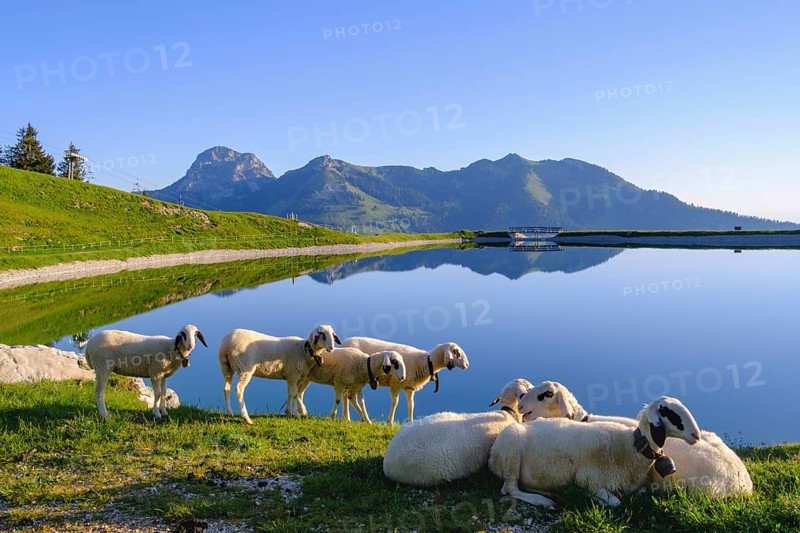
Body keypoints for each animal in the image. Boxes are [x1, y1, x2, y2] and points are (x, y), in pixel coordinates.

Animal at [341, 336, 469, 425]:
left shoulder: (409, 388)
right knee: (353, 397)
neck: (424, 362)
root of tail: (343, 344)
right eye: (456, 352)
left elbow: (411, 405)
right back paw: (362, 419)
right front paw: (390, 423)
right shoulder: (396, 384)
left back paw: (347, 418)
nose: (467, 365)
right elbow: (395, 403)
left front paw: (410, 422)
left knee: (347, 396)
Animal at [489, 395, 701, 508]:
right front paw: (594, 499)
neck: (630, 447)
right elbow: (615, 502)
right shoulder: (588, 479)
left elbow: (639, 493)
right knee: (510, 488)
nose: (696, 435)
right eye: (667, 412)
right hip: (510, 451)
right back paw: (542, 500)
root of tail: (492, 457)